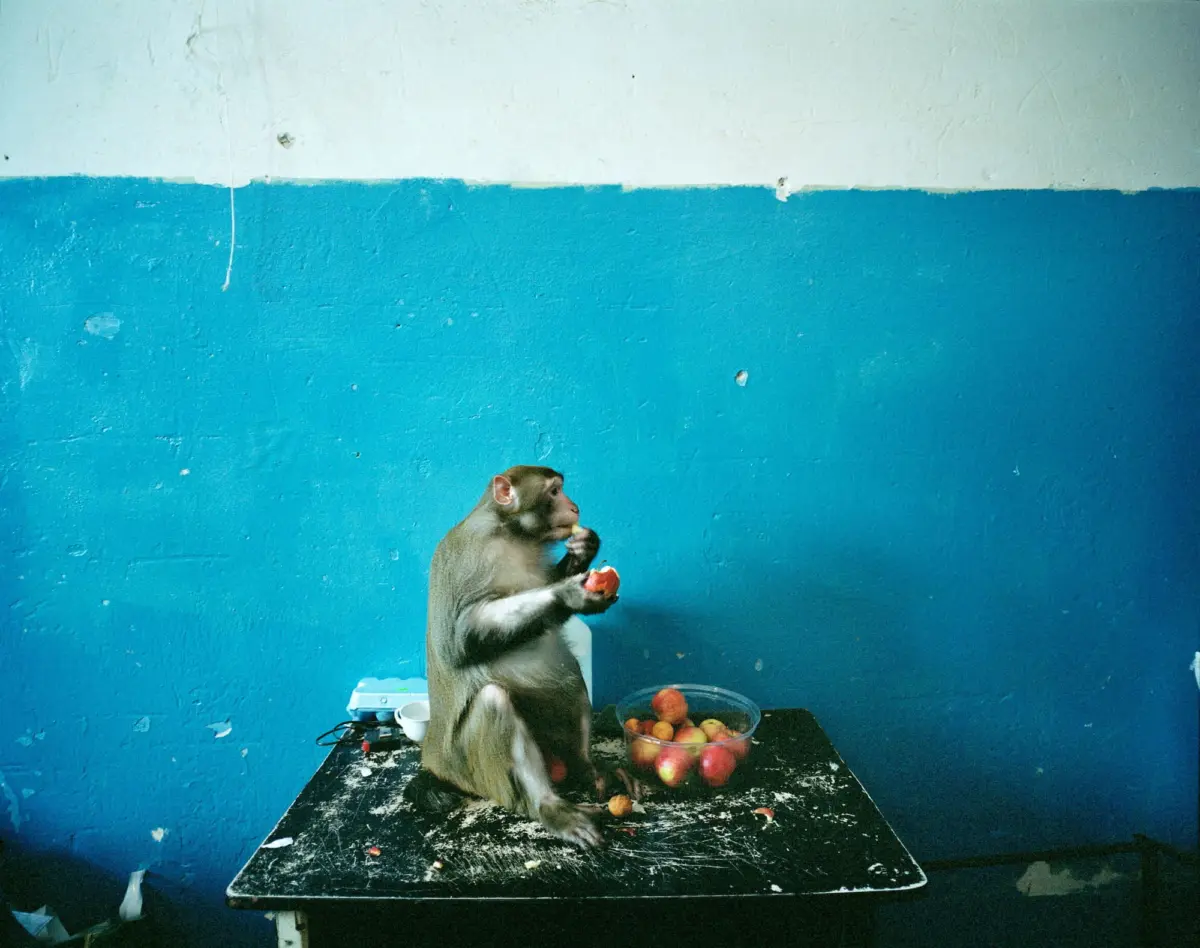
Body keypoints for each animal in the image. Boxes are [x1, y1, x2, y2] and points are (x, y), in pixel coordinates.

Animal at [404, 465, 627, 848]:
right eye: (553, 492)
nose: (575, 507)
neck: (511, 532)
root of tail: (433, 757)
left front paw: (584, 549)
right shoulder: (473, 555)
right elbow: (461, 635)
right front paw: (568, 593)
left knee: (570, 677)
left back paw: (585, 767)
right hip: (468, 766)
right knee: (494, 701)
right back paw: (549, 807)